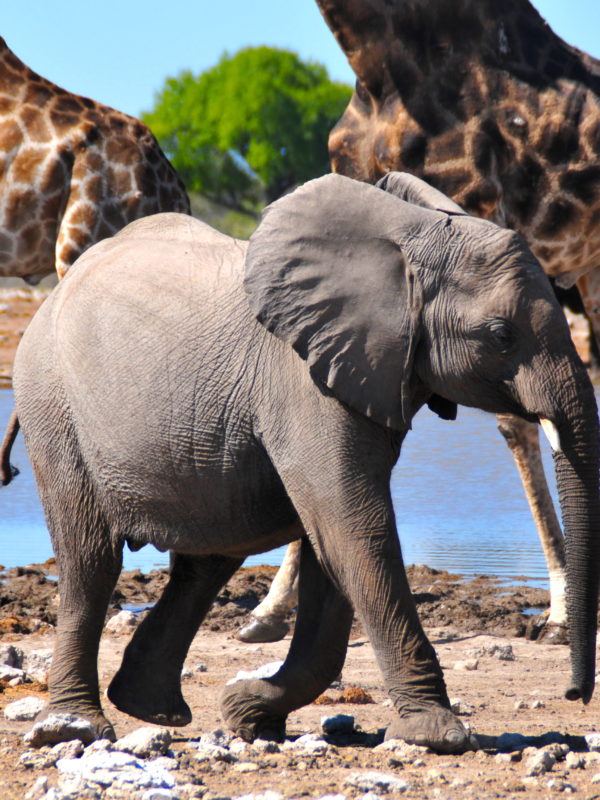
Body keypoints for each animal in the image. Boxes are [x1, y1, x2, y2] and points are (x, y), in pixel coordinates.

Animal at [11, 173, 596, 752]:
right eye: (500, 335)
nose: (573, 694)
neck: (413, 237)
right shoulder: (304, 380)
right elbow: (354, 528)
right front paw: (440, 736)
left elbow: (333, 544)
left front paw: (246, 714)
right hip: (51, 401)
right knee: (91, 560)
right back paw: (75, 728)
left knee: (207, 561)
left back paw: (151, 709)